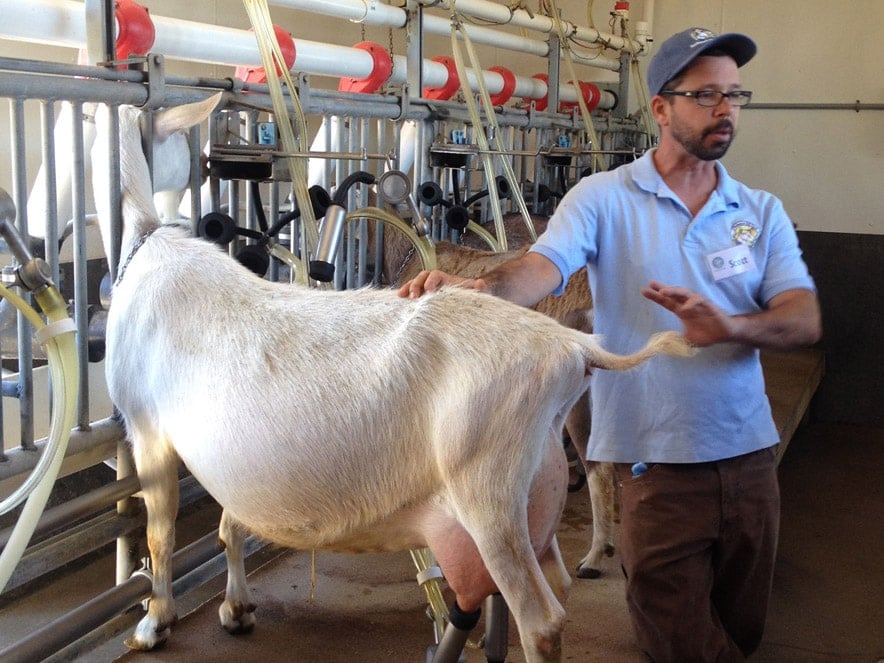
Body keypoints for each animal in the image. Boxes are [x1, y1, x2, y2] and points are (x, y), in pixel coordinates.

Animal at [91, 96, 696, 660]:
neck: (147, 245)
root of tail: (570, 348)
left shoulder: (147, 428)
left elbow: (161, 533)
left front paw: (153, 623)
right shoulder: (229, 458)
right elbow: (230, 525)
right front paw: (237, 608)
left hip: (489, 493)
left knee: (542, 617)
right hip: (534, 499)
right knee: (561, 580)